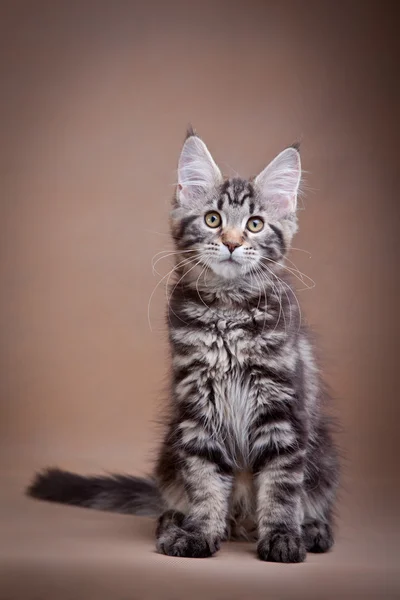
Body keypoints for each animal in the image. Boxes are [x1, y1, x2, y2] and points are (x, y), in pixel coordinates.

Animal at [28, 127, 340, 564]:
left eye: (255, 224)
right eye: (213, 220)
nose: (231, 242)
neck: (228, 310)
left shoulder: (281, 407)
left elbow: (281, 486)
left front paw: (281, 538)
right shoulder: (198, 404)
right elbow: (205, 482)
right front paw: (199, 533)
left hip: (322, 459)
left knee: (308, 502)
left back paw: (311, 530)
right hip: (170, 448)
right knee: (180, 503)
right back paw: (177, 524)